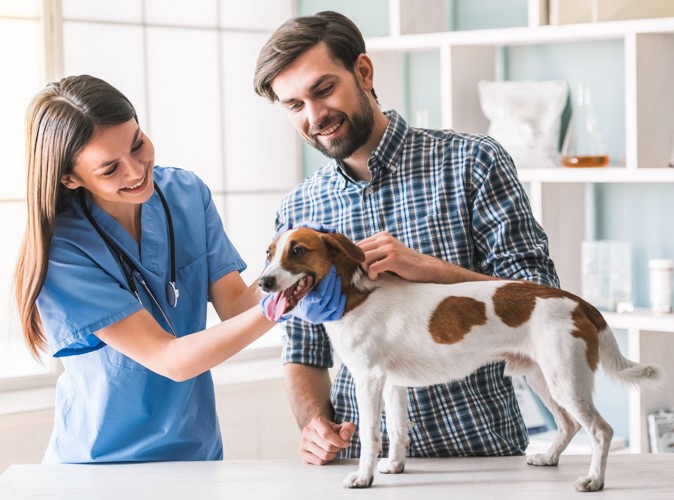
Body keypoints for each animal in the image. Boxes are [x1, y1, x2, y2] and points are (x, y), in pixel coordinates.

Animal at [258, 228, 660, 492]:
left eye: (298, 250)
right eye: (269, 253)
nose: (263, 283)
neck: (355, 295)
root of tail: (577, 301)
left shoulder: (369, 379)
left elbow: (371, 435)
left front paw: (364, 477)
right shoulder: (393, 383)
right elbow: (398, 432)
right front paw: (395, 466)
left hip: (565, 380)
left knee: (600, 431)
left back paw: (595, 480)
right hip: (543, 378)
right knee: (569, 425)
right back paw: (548, 458)